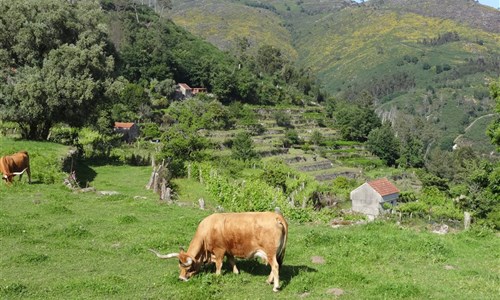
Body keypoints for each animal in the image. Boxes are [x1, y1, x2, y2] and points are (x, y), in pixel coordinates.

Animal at [150, 211, 288, 290]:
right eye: (180, 267)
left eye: (188, 268)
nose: (181, 278)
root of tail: (276, 216)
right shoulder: (229, 250)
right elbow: (232, 261)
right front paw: (236, 272)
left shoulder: (219, 250)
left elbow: (219, 264)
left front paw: (217, 275)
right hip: (276, 253)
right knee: (276, 266)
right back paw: (269, 281)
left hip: (270, 252)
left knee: (275, 266)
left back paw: (275, 286)